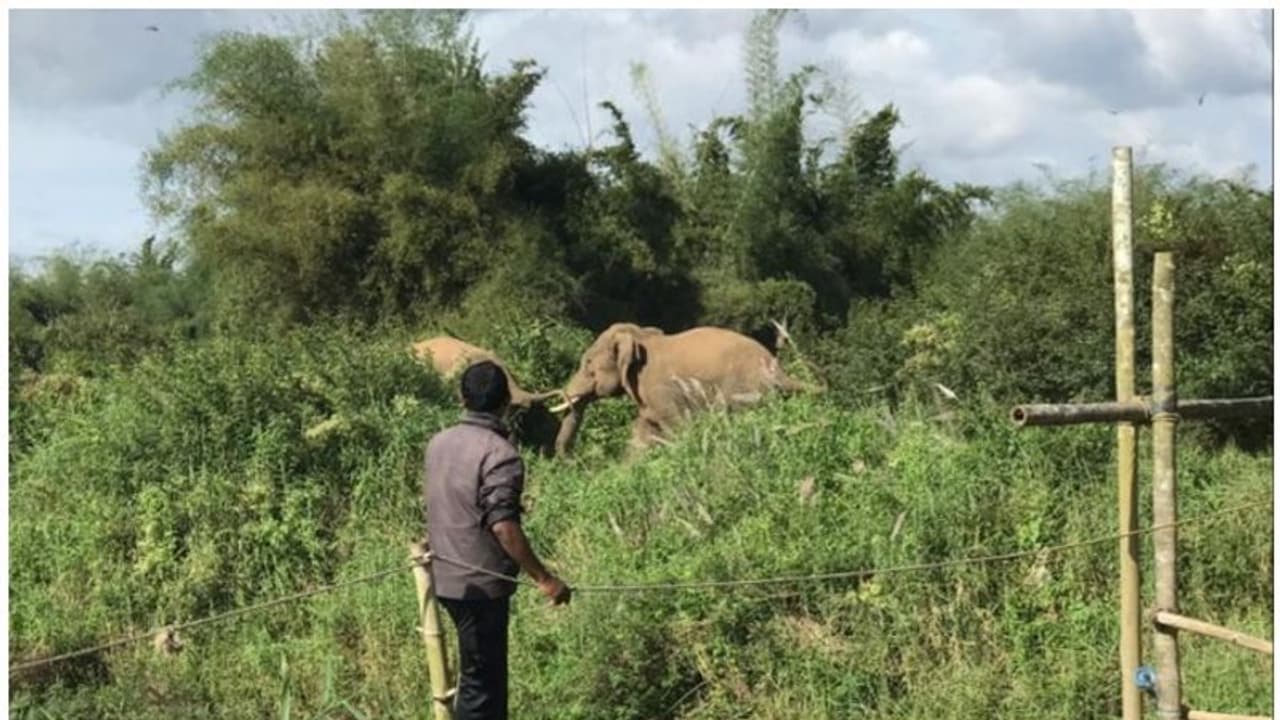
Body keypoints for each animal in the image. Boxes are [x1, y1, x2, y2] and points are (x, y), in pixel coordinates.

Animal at [551, 323, 819, 455]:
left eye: (587, 364)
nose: (573, 462)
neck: (640, 337)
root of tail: (777, 368)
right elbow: (643, 432)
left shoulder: (661, 391)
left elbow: (676, 429)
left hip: (746, 392)